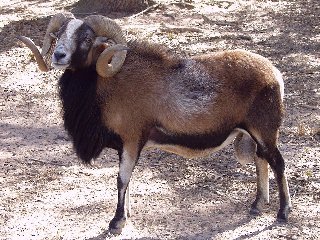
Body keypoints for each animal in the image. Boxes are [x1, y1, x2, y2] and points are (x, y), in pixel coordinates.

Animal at [18, 12, 292, 234]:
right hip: (255, 134)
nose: (59, 55)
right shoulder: (125, 147)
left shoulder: (131, 141)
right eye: (60, 34)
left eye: (86, 38)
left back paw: (283, 213)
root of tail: (275, 75)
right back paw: (257, 206)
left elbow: (122, 180)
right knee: (261, 160)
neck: (107, 86)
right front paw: (126, 216)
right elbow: (128, 181)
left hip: (265, 131)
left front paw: (116, 223)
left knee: (277, 163)